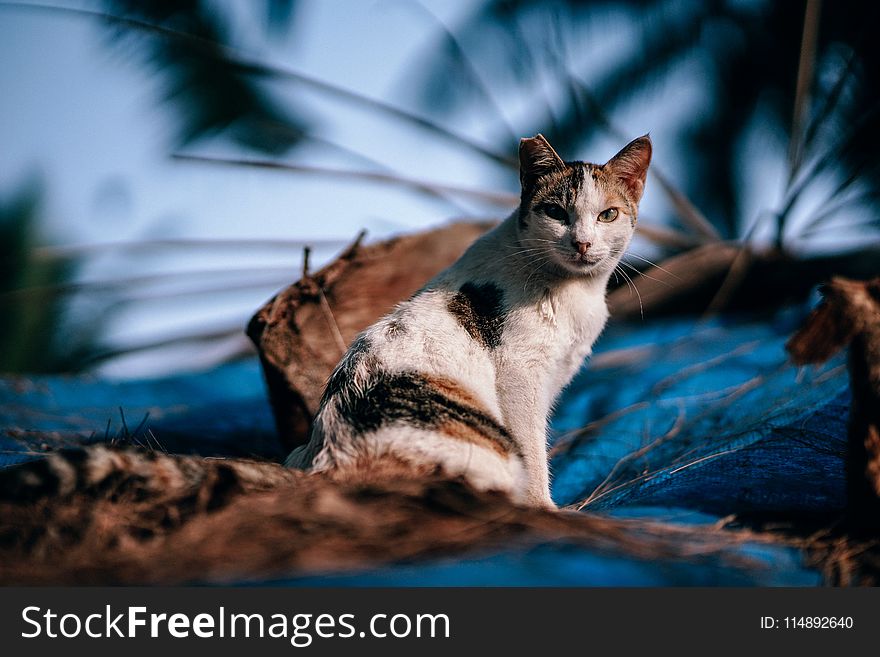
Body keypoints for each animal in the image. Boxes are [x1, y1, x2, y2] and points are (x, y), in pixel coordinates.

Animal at [286, 131, 648, 504]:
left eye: (608, 215)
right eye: (555, 212)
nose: (582, 243)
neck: (576, 289)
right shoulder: (520, 375)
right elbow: (533, 449)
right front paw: (544, 506)